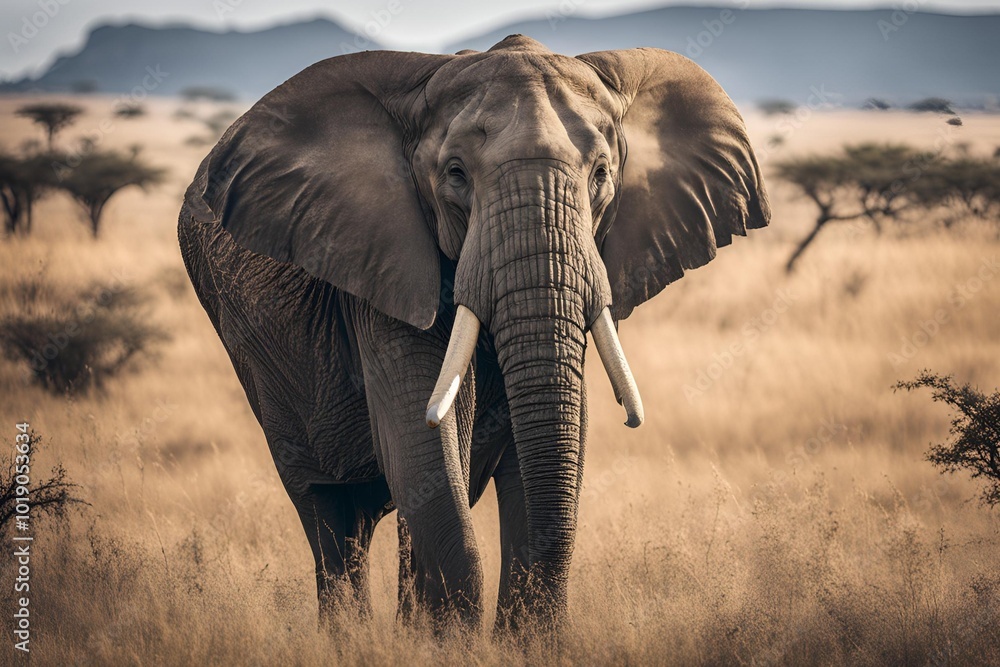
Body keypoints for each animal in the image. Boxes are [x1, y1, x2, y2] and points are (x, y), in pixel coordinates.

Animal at [178, 35, 769, 635]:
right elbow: (422, 442)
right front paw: (449, 644)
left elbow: (556, 434)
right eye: (456, 174)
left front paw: (519, 643)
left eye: (602, 173)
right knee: (330, 513)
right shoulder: (381, 263)